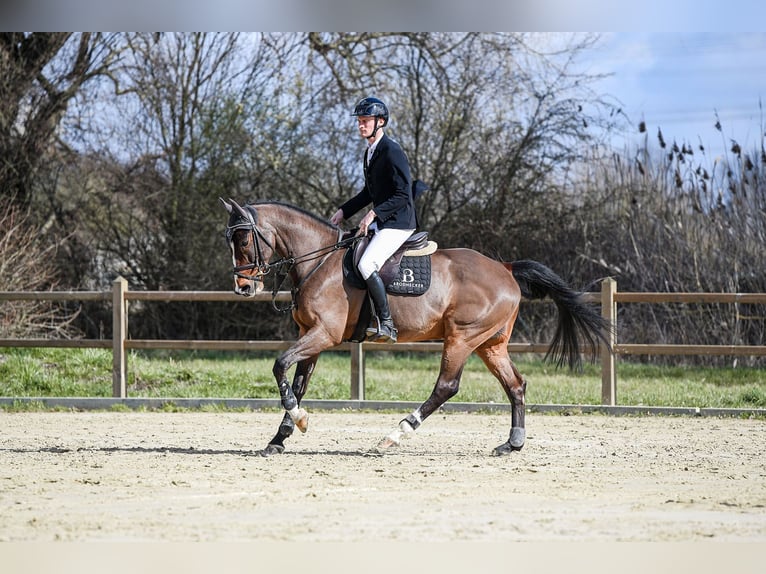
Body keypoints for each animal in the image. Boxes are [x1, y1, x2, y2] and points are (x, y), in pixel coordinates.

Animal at [221, 198, 611, 456]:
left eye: (243, 240)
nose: (243, 288)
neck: (319, 260)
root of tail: (506, 268)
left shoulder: (323, 335)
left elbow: (279, 365)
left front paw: (297, 421)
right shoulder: (309, 336)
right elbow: (298, 382)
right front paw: (282, 436)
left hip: (462, 338)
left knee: (447, 387)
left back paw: (394, 435)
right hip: (490, 344)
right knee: (515, 385)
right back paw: (512, 444)